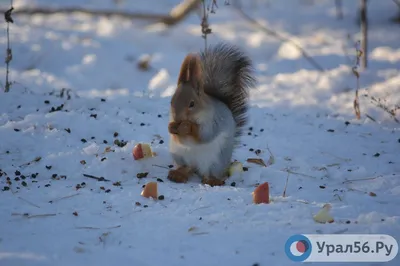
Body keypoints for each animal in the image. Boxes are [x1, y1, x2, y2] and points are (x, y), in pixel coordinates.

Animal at [166, 42, 255, 186]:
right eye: (171, 101)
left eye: (192, 104)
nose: (177, 118)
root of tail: (196, 166)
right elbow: (178, 138)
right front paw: (172, 127)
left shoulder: (213, 121)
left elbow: (204, 135)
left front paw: (186, 126)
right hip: (179, 155)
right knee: (187, 168)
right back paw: (178, 174)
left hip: (216, 161)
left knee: (209, 173)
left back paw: (212, 180)